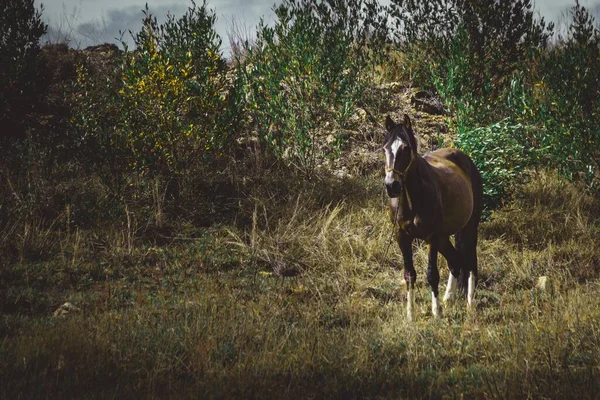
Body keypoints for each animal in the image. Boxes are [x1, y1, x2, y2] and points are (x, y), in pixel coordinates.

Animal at [384, 114, 482, 320]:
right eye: (385, 148)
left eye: (406, 148)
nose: (391, 186)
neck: (412, 199)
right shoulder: (402, 237)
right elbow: (409, 274)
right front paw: (410, 314)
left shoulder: (431, 237)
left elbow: (431, 273)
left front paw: (436, 312)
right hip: (444, 237)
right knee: (455, 260)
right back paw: (448, 298)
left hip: (469, 226)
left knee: (470, 261)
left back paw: (470, 303)